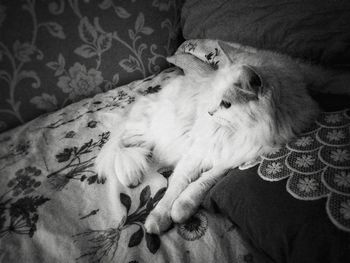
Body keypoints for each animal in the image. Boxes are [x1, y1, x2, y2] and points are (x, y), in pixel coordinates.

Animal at [95, 40, 350, 235]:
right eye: (216, 97)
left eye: (226, 104)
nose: (209, 112)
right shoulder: (197, 152)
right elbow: (173, 189)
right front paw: (158, 219)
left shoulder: (236, 156)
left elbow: (200, 184)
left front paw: (181, 210)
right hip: (152, 128)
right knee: (118, 142)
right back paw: (130, 175)